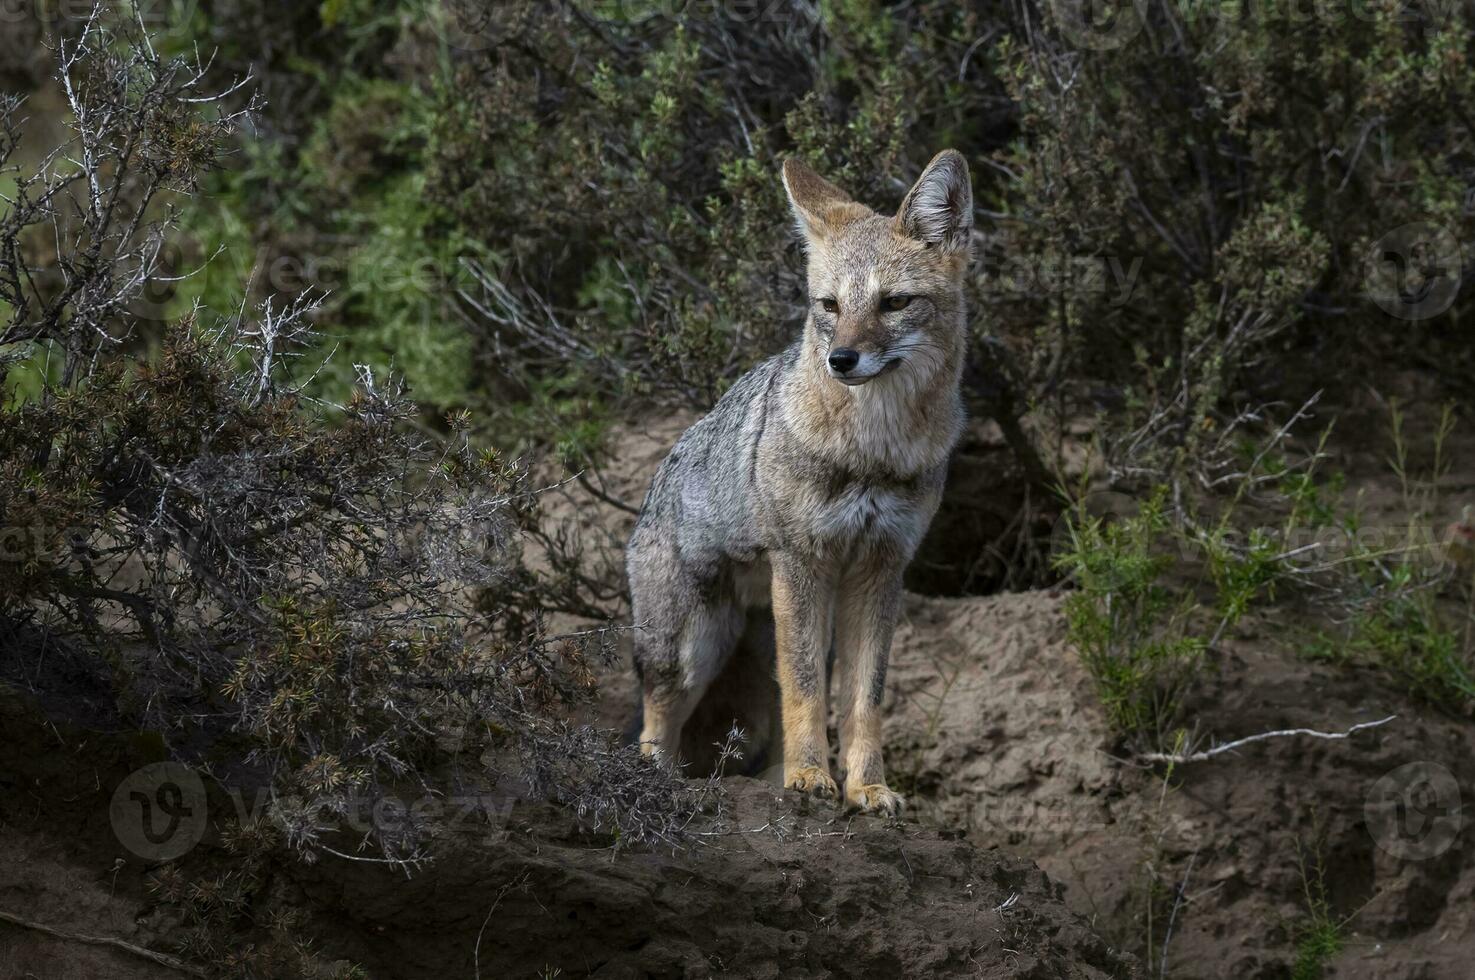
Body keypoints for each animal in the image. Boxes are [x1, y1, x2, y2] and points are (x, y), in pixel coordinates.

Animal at [628, 151, 973, 808]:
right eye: (829, 306)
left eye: (894, 302)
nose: (841, 360)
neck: (871, 451)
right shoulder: (803, 560)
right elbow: (808, 689)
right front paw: (812, 777)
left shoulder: (881, 568)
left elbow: (864, 698)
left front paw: (867, 786)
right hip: (693, 645)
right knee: (657, 720)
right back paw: (658, 781)